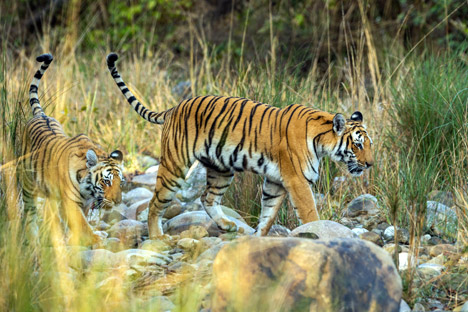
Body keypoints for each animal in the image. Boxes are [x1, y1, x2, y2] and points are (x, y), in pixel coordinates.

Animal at [20, 53, 124, 246]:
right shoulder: (70, 203)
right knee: (30, 211)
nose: (118, 201)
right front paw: (95, 238)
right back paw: (33, 238)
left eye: (121, 182)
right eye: (106, 181)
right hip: (28, 183)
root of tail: (41, 114)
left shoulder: (84, 203)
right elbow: (82, 224)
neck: (89, 189)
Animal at [106, 52, 372, 238]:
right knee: (155, 202)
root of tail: (173, 108)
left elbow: (268, 213)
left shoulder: (275, 181)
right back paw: (157, 237)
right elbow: (309, 214)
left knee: (207, 198)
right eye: (358, 145)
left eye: (369, 144)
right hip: (175, 166)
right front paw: (319, 232)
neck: (321, 140)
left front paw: (258, 237)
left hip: (221, 168)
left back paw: (228, 226)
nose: (370, 164)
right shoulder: (297, 181)